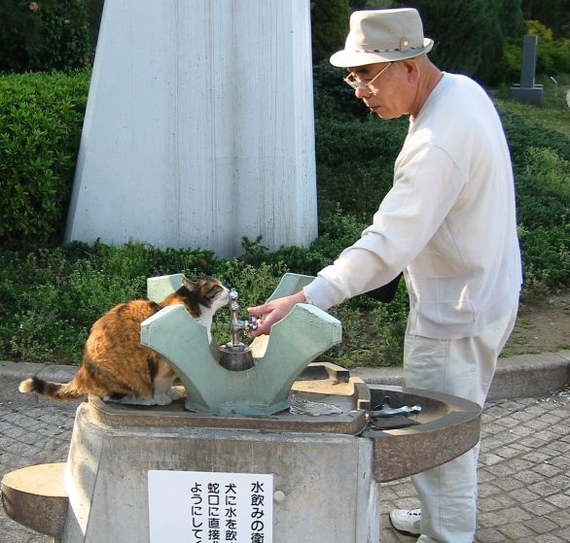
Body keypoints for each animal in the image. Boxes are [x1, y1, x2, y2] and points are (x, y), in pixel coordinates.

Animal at [20, 278, 229, 406]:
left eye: (222, 285)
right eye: (217, 287)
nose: (230, 288)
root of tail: (84, 370)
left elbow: (169, 383)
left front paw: (171, 394)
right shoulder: (163, 363)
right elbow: (161, 383)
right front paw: (162, 398)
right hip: (120, 372)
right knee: (109, 396)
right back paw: (143, 399)